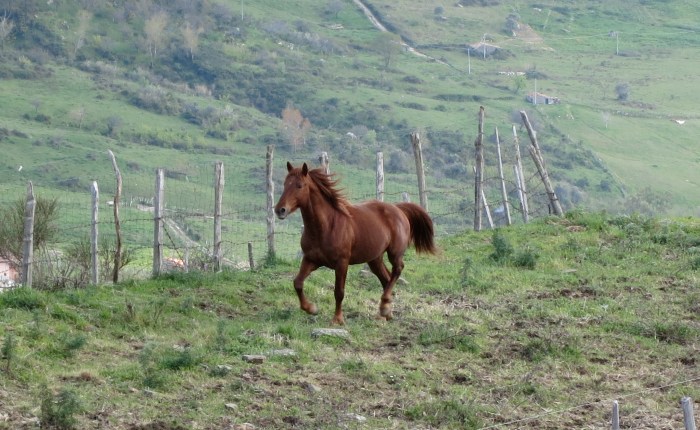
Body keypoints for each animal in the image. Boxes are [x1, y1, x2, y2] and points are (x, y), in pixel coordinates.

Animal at [275, 162, 436, 325]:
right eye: (285, 184)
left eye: (299, 186)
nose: (280, 210)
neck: (326, 226)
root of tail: (398, 209)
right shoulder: (311, 259)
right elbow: (297, 283)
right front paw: (311, 309)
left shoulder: (342, 263)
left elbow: (339, 292)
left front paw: (337, 319)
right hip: (374, 259)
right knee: (386, 278)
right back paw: (385, 313)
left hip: (394, 253)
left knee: (397, 270)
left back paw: (385, 307)